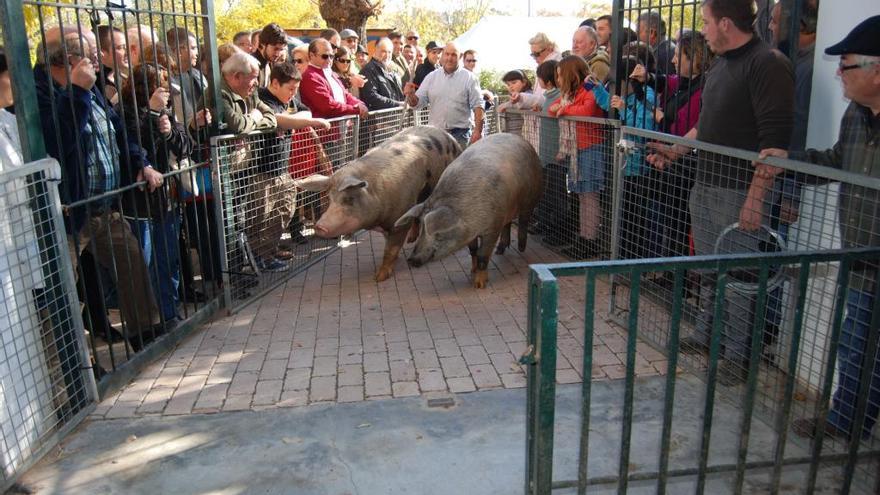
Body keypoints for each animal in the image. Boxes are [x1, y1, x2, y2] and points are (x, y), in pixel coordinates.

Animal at [294, 126, 460, 282]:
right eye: (330, 199)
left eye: (349, 199)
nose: (319, 226)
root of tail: (448, 135)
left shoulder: (399, 219)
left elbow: (390, 249)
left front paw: (379, 278)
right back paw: (411, 239)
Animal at [394, 134, 544, 288]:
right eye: (421, 230)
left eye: (438, 235)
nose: (411, 259)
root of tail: (522, 140)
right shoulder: (472, 231)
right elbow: (473, 251)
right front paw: (472, 270)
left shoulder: (493, 227)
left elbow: (483, 255)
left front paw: (479, 285)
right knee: (507, 224)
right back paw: (499, 251)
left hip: (532, 195)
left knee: (524, 219)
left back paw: (521, 247)